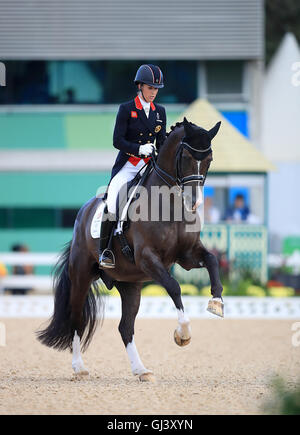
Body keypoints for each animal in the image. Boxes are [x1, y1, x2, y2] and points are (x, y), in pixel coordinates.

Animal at [37, 117, 223, 384]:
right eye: (187, 156)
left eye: (209, 158)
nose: (193, 202)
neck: (169, 203)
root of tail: (83, 212)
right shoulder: (147, 258)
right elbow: (174, 287)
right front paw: (183, 334)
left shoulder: (188, 255)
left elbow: (212, 260)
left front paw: (216, 302)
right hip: (81, 275)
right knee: (77, 319)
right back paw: (79, 368)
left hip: (129, 284)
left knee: (125, 327)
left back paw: (141, 370)